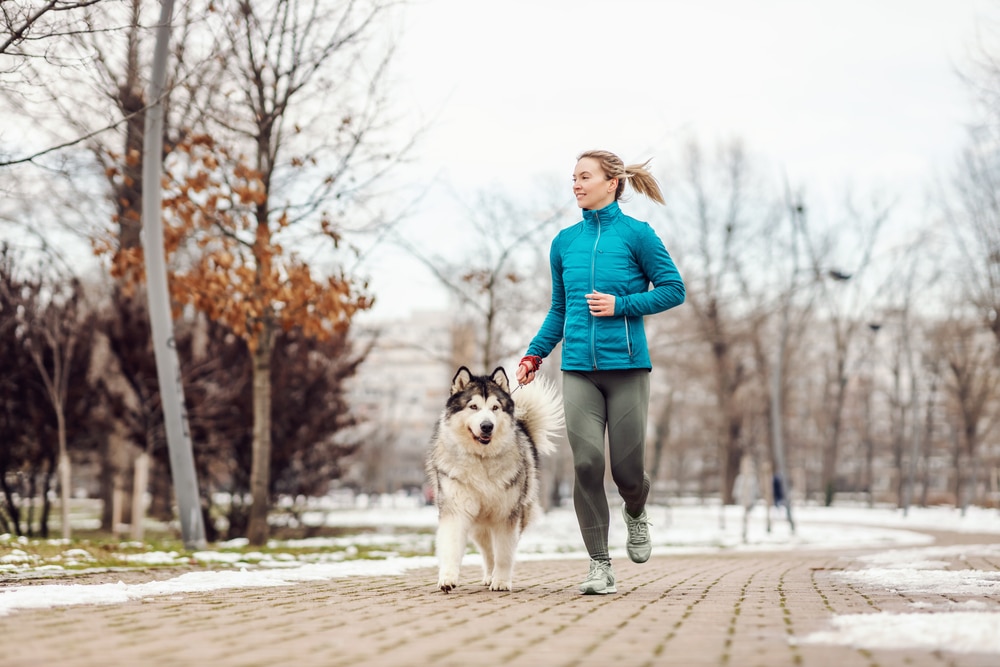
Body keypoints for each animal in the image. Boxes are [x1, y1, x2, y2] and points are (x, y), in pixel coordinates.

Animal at [424, 368, 564, 592]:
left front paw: (501, 581)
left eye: (495, 407)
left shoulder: (507, 515)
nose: (487, 426)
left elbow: (504, 553)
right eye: (473, 406)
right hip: (479, 526)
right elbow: (452, 546)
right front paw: (447, 578)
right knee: (488, 551)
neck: (481, 458)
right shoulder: (455, 510)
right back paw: (488, 575)